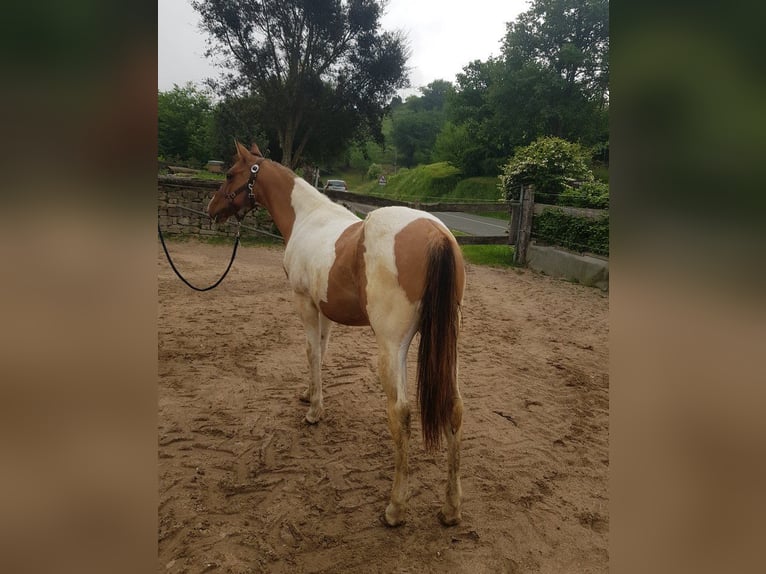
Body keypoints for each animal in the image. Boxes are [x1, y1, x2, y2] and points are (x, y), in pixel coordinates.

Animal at [207, 141, 465, 527]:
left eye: (229, 174)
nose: (211, 209)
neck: (307, 218)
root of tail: (436, 235)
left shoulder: (304, 302)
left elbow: (311, 351)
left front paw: (314, 412)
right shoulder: (322, 307)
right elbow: (321, 351)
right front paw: (308, 394)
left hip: (392, 347)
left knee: (401, 414)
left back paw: (395, 508)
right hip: (449, 347)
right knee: (454, 407)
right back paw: (451, 508)